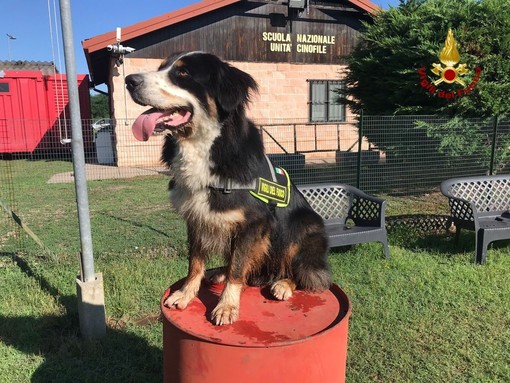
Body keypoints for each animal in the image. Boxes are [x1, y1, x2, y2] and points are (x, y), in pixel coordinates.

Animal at [124, 52, 330, 326]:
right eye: (161, 68)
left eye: (183, 73)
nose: (129, 81)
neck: (204, 146)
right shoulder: (196, 217)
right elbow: (196, 262)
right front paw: (186, 293)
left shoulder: (251, 223)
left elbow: (238, 266)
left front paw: (226, 306)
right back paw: (220, 273)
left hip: (303, 226)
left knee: (303, 272)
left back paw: (283, 284)